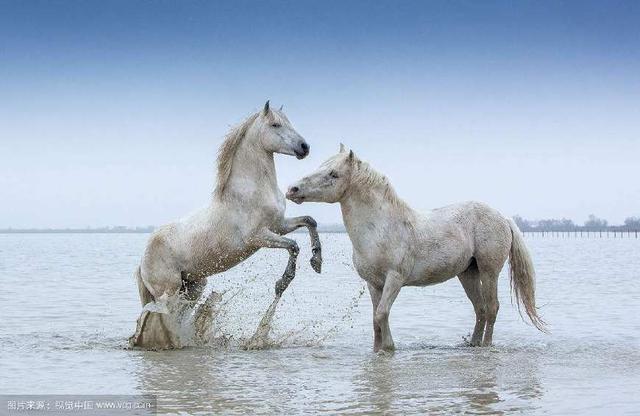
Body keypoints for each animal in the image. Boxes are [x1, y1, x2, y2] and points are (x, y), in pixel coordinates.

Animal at [129, 102, 324, 350]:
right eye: (275, 125)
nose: (304, 147)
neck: (251, 190)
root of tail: (142, 260)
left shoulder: (278, 225)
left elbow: (309, 221)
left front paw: (317, 261)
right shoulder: (258, 237)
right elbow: (293, 246)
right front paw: (283, 281)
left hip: (193, 286)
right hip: (169, 292)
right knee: (158, 317)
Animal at [288, 145, 544, 352]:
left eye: (333, 174)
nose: (292, 189)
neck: (381, 228)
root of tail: (503, 217)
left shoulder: (395, 278)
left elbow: (382, 313)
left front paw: (389, 348)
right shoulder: (374, 283)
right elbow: (375, 319)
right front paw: (377, 349)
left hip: (489, 271)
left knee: (491, 308)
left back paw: (486, 346)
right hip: (468, 273)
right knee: (480, 309)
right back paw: (472, 344)